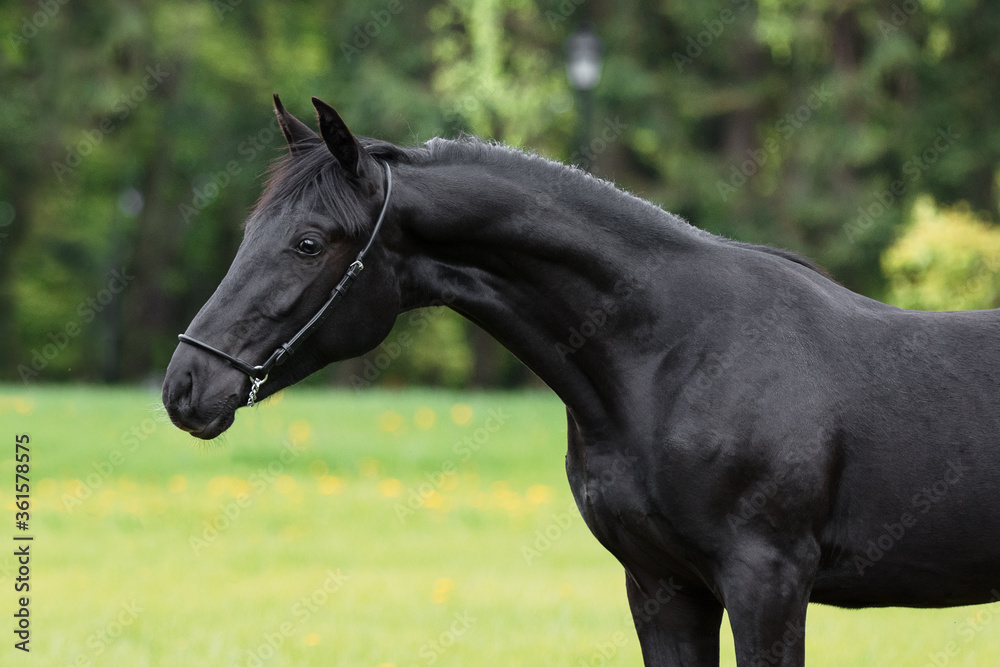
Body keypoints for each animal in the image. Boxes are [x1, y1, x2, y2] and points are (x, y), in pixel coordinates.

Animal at [164, 95, 1000, 667]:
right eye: (250, 231)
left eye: (308, 242)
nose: (185, 385)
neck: (674, 355)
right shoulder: (662, 585)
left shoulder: (769, 582)